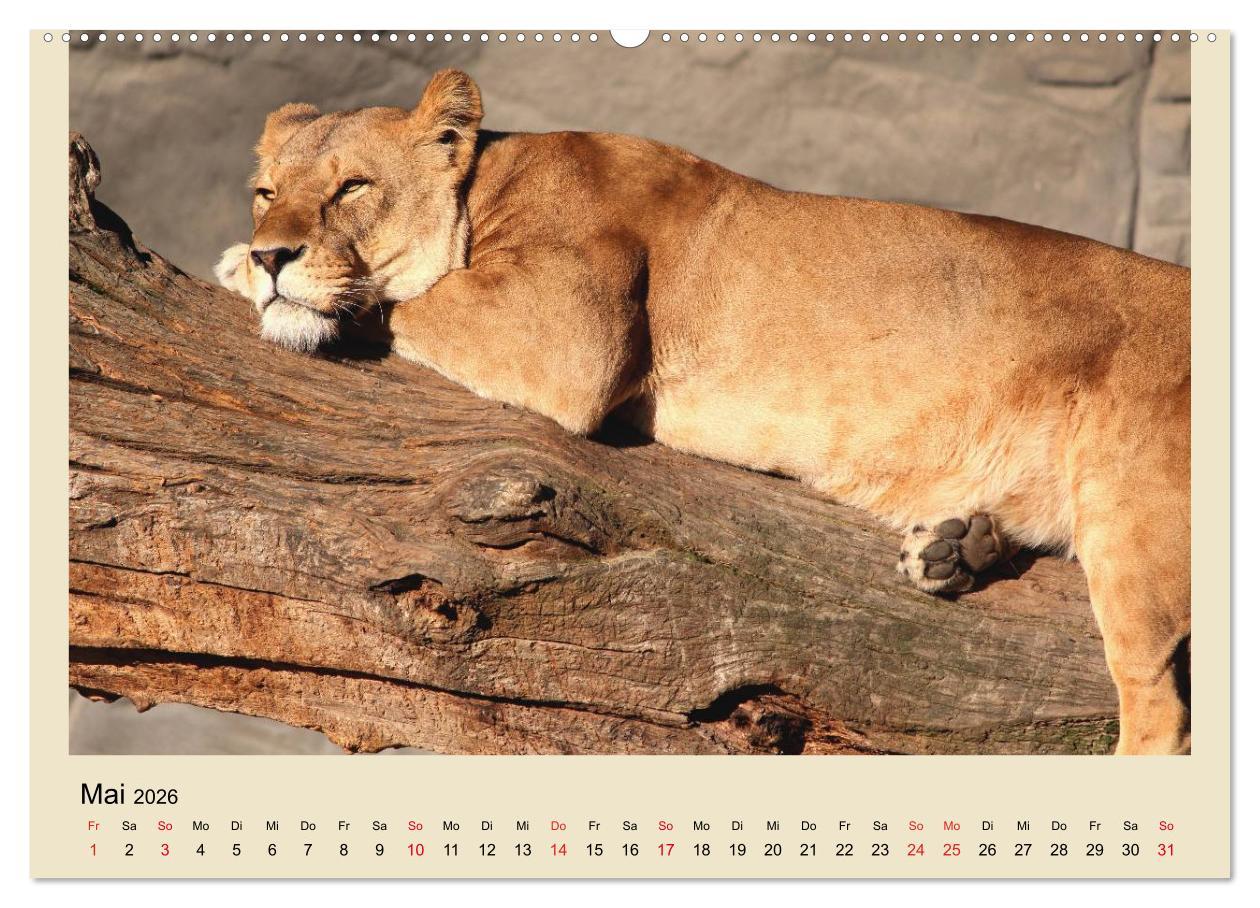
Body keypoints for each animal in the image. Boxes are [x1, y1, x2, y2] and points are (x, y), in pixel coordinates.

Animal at [217, 69, 1191, 755]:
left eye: (351, 188)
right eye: (265, 191)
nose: (272, 253)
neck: (488, 182)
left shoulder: (566, 327)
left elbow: (406, 301)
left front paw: (247, 278)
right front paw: (246, 267)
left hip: (1135, 518)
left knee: (1161, 709)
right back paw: (957, 547)